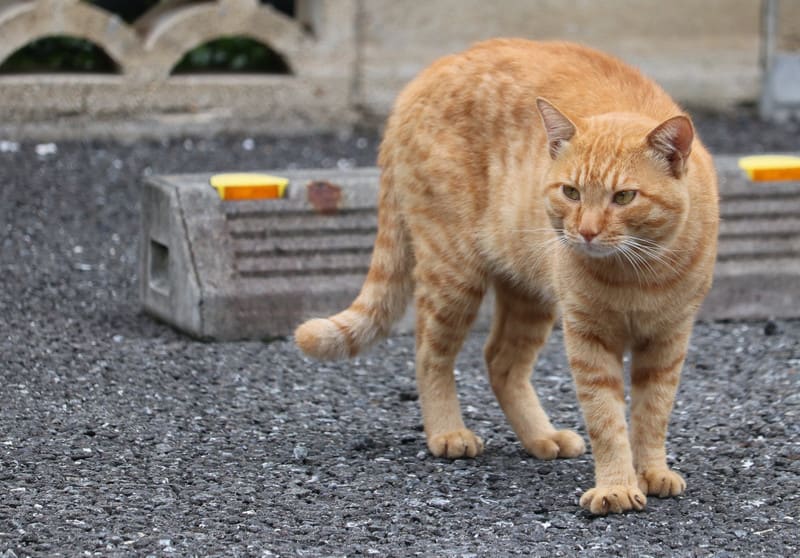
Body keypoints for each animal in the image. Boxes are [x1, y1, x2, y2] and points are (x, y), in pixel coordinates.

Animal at [294, 39, 720, 516]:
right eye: (571, 192)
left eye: (624, 197)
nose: (586, 231)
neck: (635, 274)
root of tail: (427, 75)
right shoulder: (588, 339)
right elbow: (607, 419)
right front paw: (616, 486)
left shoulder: (668, 341)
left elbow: (652, 414)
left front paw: (651, 471)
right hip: (452, 273)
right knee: (430, 354)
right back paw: (447, 432)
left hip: (528, 295)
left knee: (501, 361)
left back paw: (541, 437)